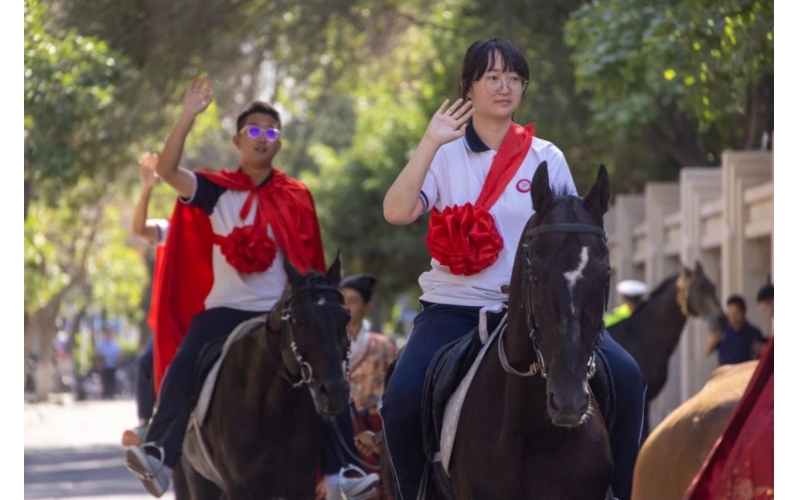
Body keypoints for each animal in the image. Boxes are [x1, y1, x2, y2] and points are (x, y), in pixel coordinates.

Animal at [175, 258, 350, 500]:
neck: (270, 410)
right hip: (198, 478)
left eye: (346, 318)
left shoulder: (301, 486)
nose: (335, 393)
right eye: (298, 320)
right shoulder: (239, 487)